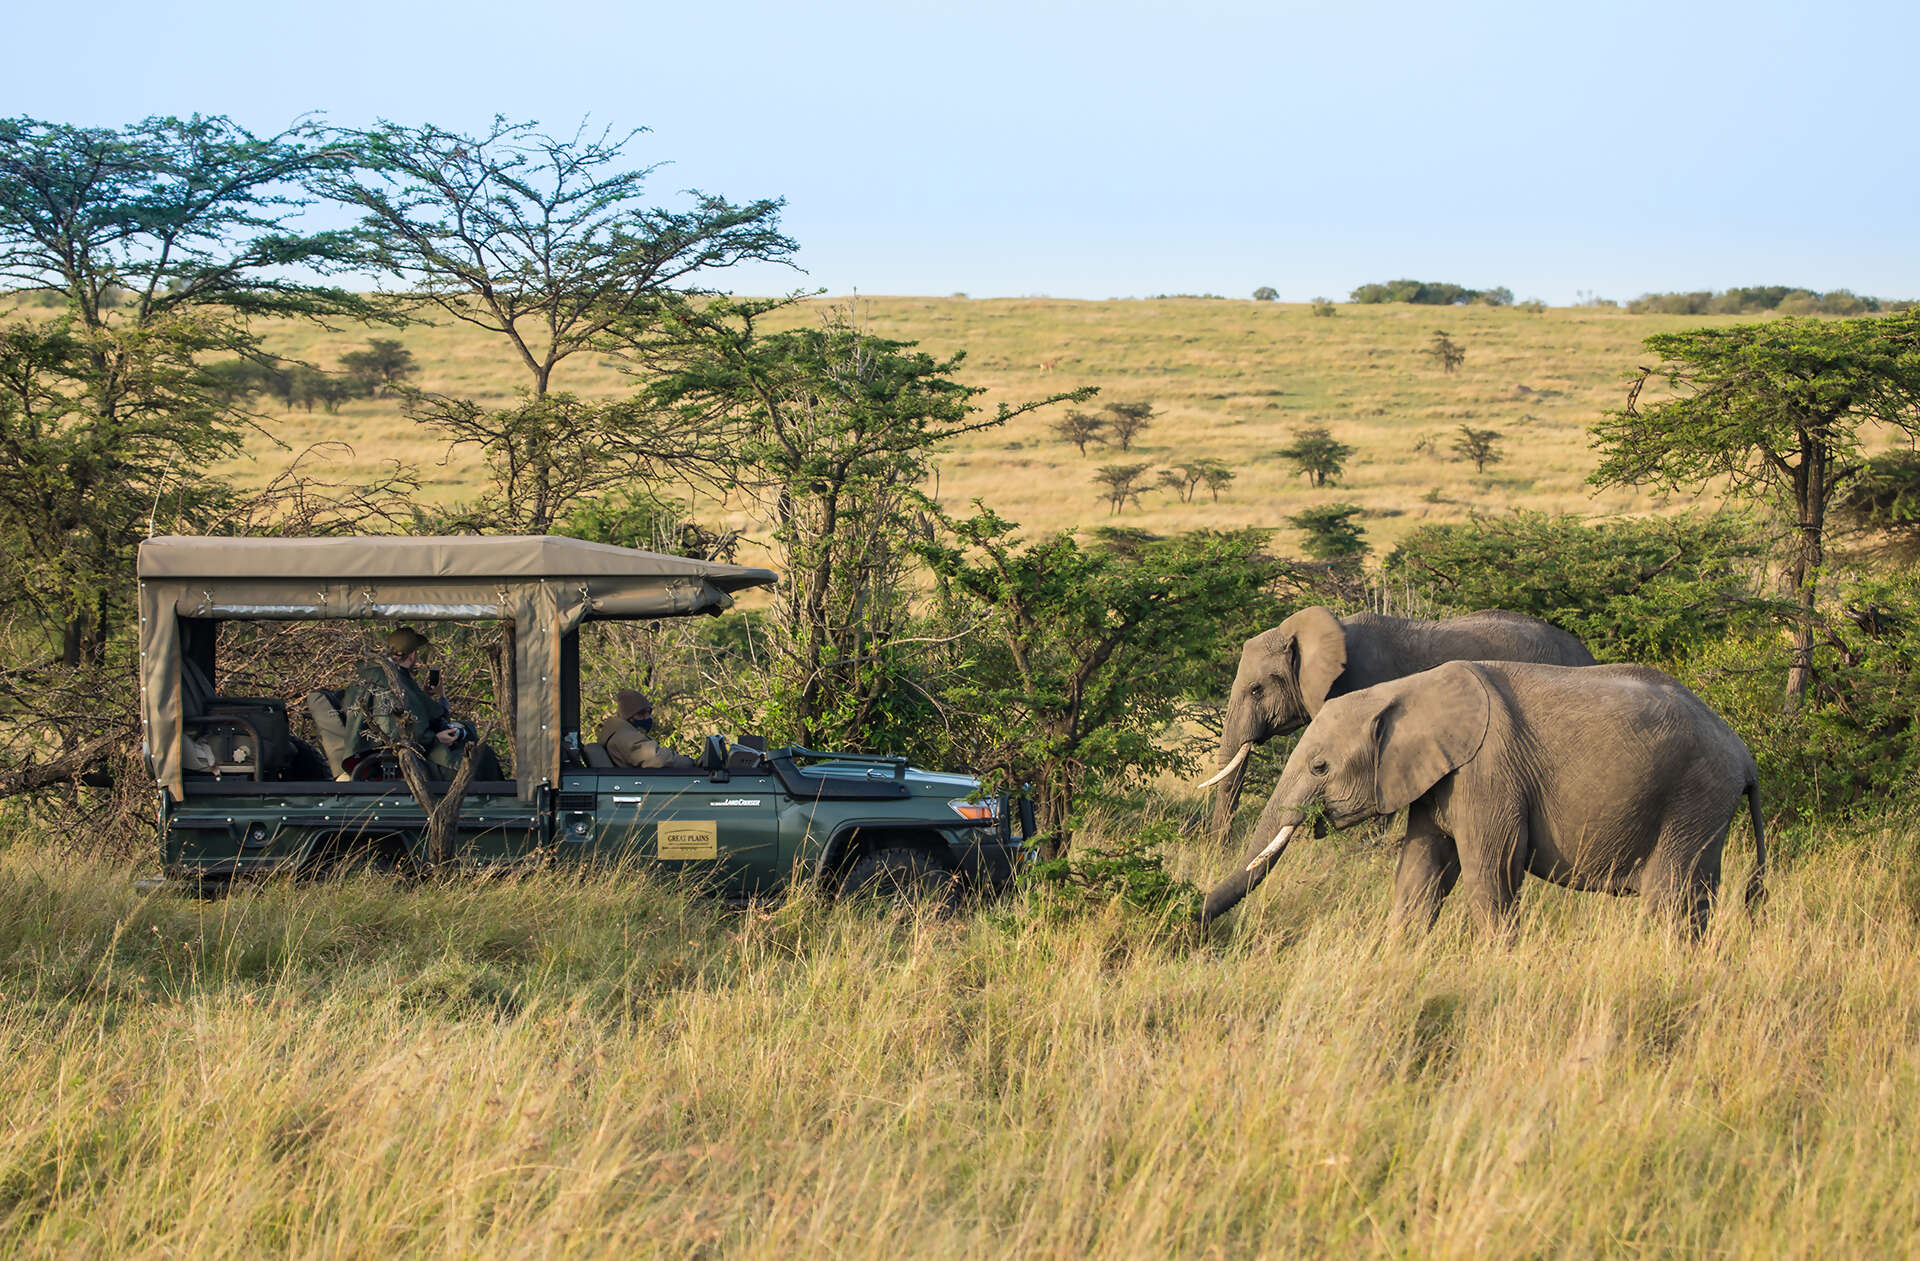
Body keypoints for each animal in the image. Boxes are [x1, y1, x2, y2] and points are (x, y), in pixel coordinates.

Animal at [1198, 661, 1766, 937]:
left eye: (1320, 768)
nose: (1188, 922)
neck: (1406, 690)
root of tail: (1745, 755)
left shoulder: (1488, 774)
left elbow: (1490, 870)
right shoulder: (1438, 777)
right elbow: (1420, 871)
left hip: (1695, 796)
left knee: (1670, 897)